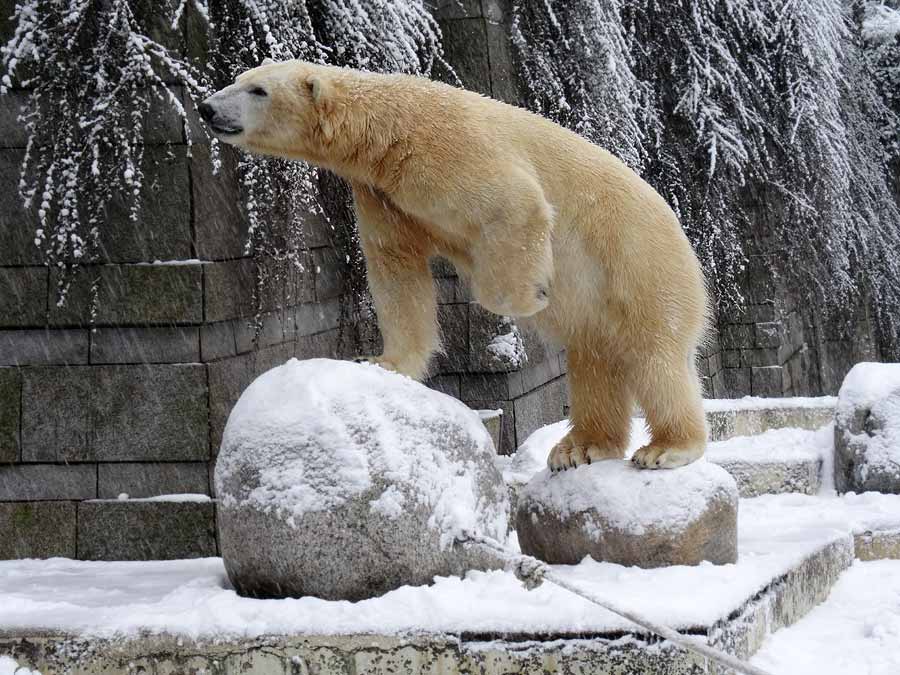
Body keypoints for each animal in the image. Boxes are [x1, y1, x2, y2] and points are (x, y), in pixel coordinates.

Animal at [199, 62, 712, 470]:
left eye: (258, 90)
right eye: (239, 78)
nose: (207, 108)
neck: (388, 130)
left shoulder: (450, 149)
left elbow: (515, 201)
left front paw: (525, 297)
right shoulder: (382, 193)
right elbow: (396, 269)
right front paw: (384, 361)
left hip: (638, 264)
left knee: (655, 356)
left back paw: (666, 448)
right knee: (595, 362)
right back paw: (579, 448)